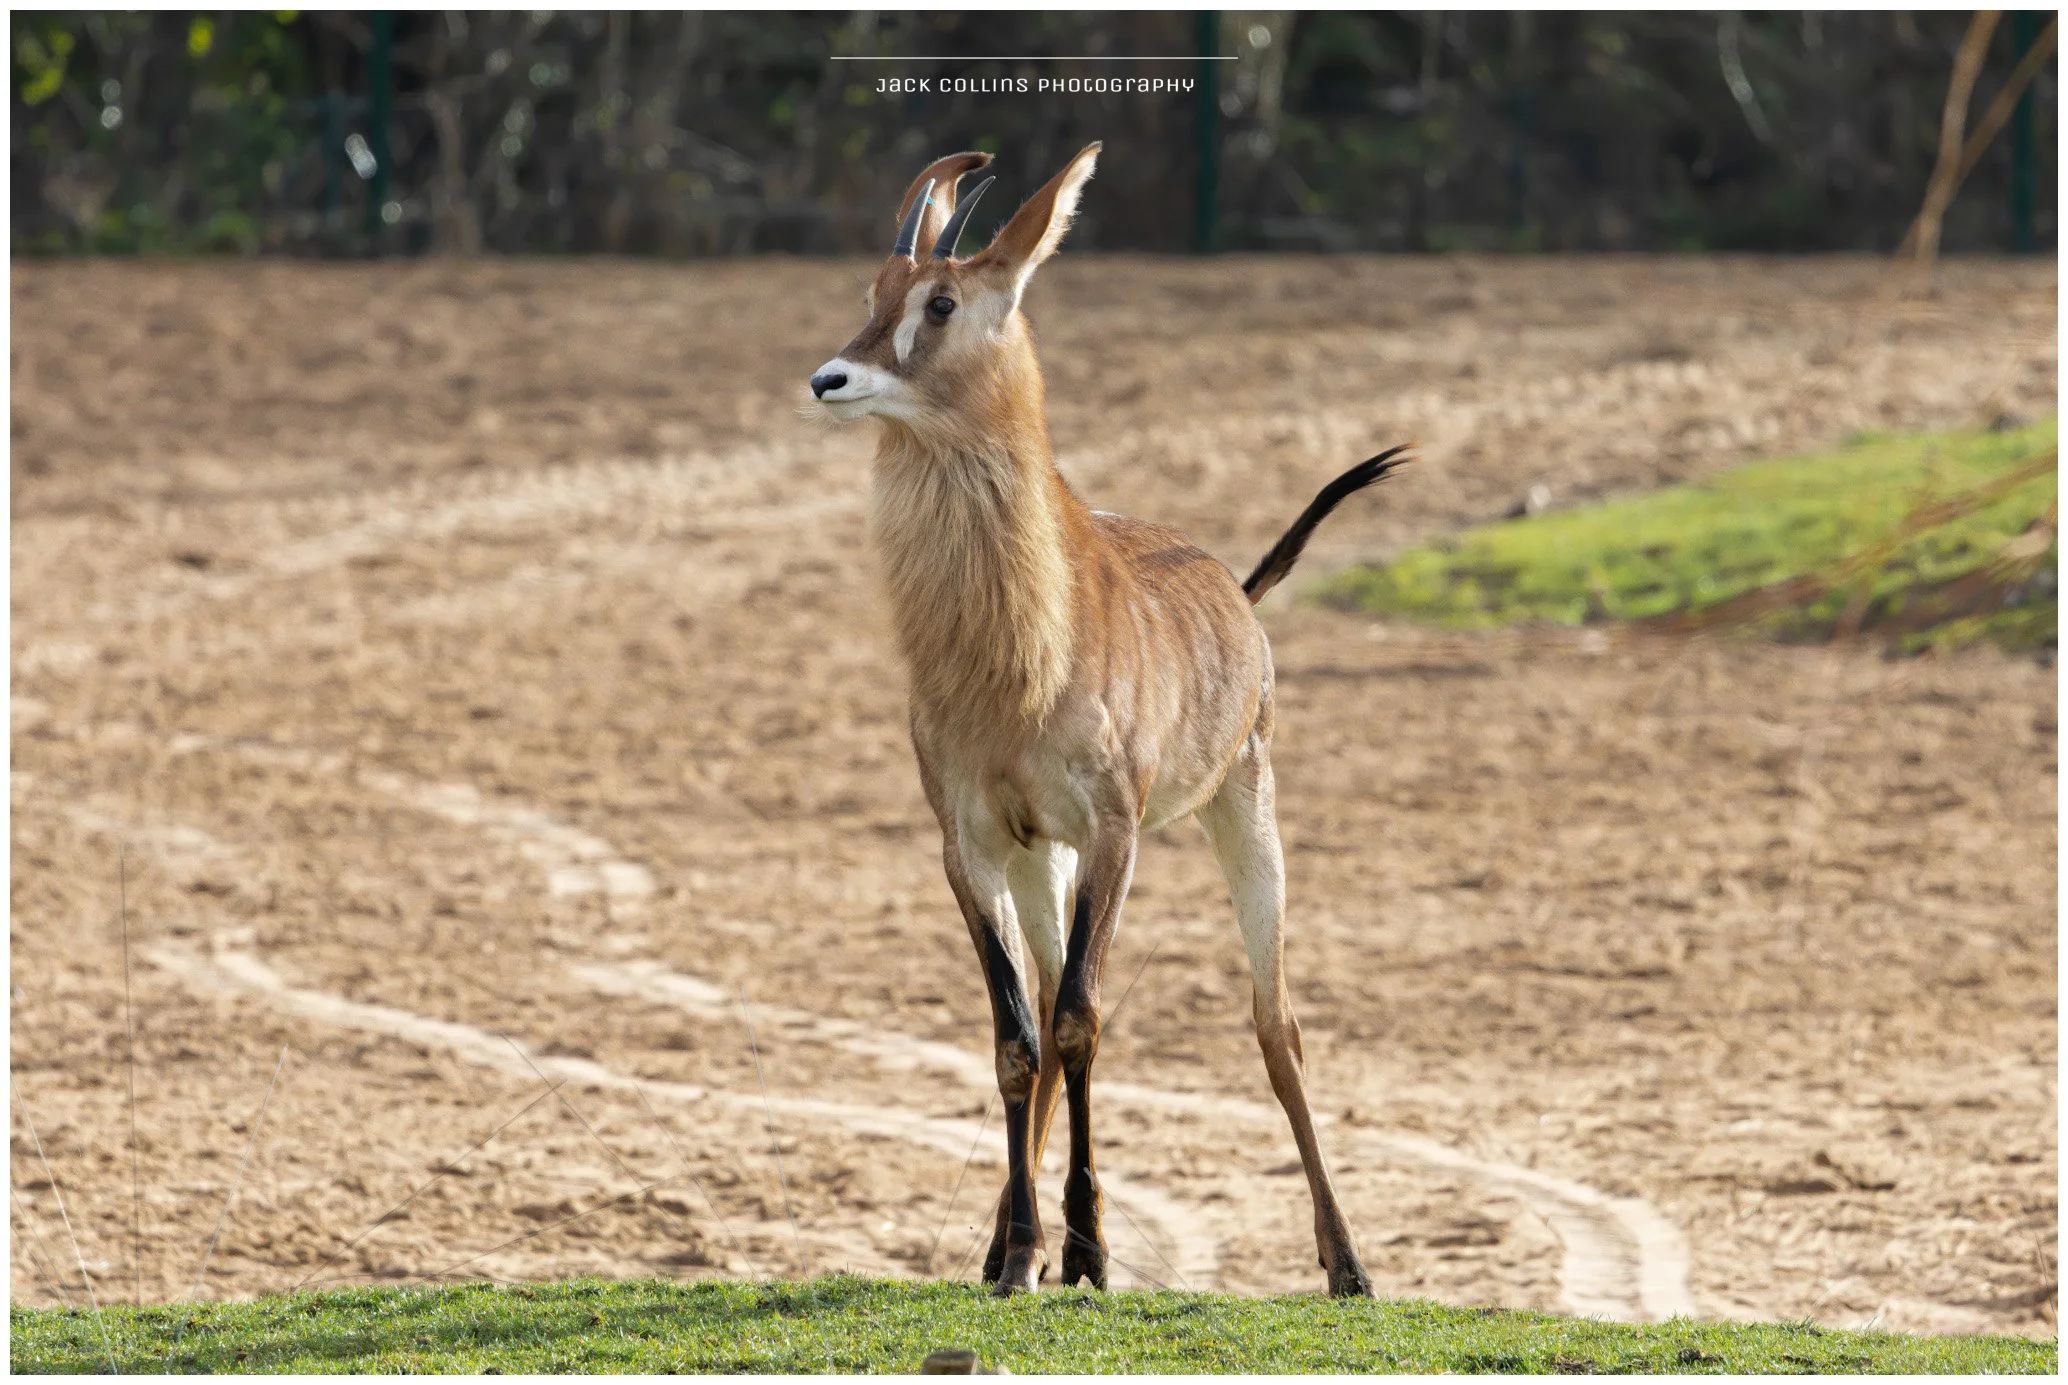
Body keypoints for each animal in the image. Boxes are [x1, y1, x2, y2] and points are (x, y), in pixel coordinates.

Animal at [805, 143, 1407, 1297]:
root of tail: (1234, 588)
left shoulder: (1114, 832)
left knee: (1274, 1023)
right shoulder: (972, 842)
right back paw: (1009, 1243)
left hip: (1240, 814)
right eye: (873, 292)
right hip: (1044, 857)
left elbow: (1083, 1020)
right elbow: (1018, 1036)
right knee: (1044, 1005)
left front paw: (1086, 1248)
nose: (829, 381)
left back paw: (1347, 1264)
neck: (1014, 658)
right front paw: (1019, 1254)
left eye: (942, 300)